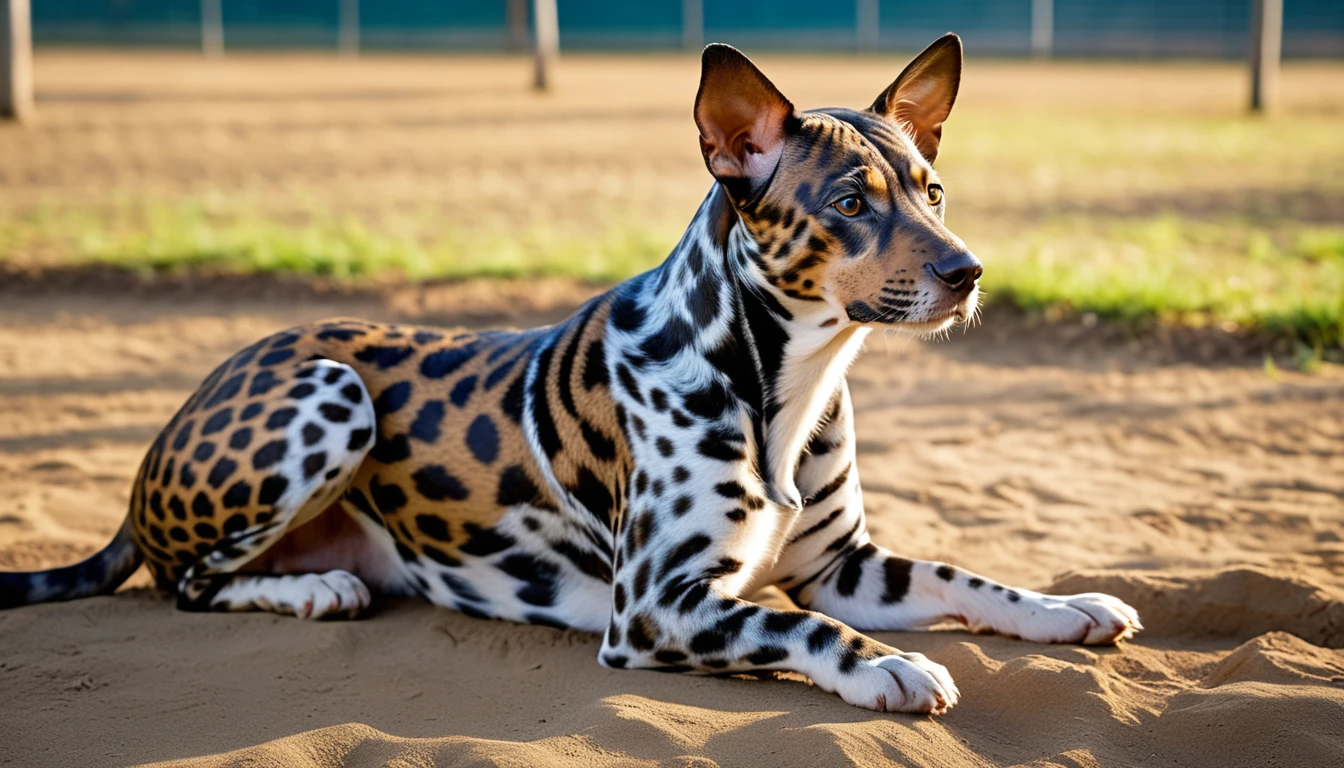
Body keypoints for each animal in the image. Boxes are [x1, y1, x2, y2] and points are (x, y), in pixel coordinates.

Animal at [0, 37, 1139, 715]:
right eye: (851, 203)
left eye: (932, 189)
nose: (970, 272)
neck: (781, 385)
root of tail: (195, 392)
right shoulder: (661, 605)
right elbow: (793, 623)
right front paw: (886, 665)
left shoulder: (845, 566)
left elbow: (963, 576)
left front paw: (1063, 607)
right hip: (331, 390)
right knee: (185, 583)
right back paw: (312, 586)